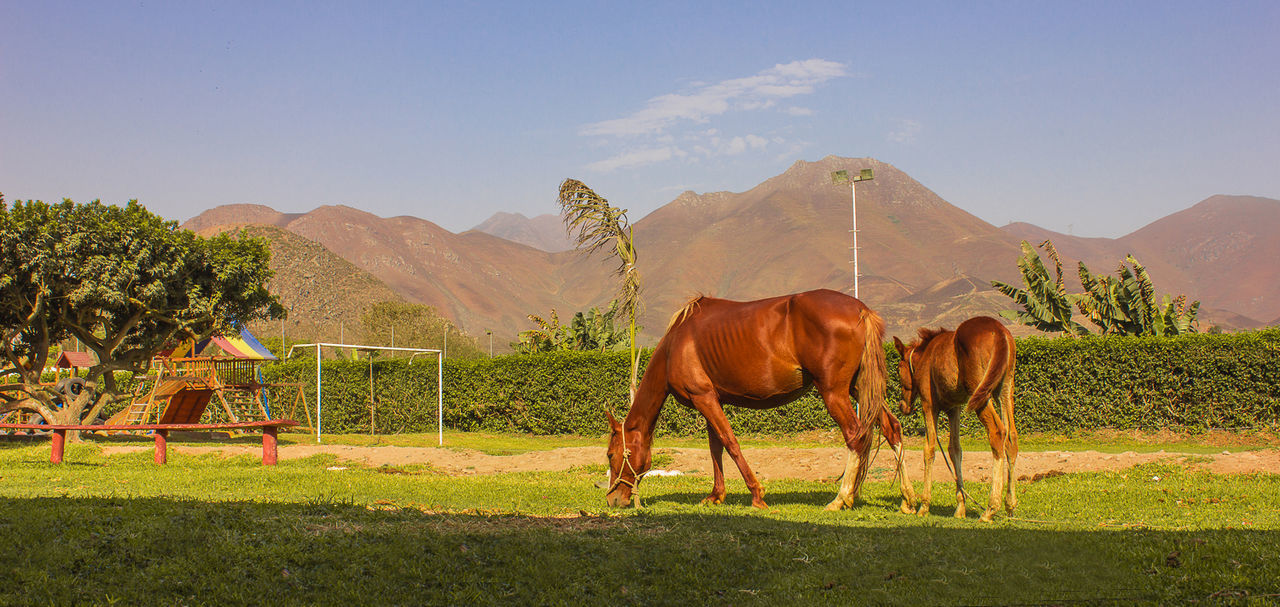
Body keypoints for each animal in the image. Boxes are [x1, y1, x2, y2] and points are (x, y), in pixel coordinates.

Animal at [604, 289, 916, 512]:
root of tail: (861, 310)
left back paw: (841, 499)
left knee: (855, 436)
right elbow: (715, 447)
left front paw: (756, 494)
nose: (612, 499)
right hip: (861, 388)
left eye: (610, 454)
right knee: (892, 428)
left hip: (834, 393)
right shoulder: (712, 400)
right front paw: (716, 495)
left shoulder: (704, 398)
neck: (676, 346)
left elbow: (730, 443)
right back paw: (908, 499)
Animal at [890, 317, 1018, 522]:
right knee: (1011, 437)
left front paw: (924, 505)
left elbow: (929, 449)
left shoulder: (929, 406)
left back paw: (991, 508)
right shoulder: (954, 409)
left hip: (981, 394)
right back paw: (1010, 505)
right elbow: (955, 450)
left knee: (997, 433)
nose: (903, 406)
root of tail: (999, 331)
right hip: (1004, 390)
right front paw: (960, 507)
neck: (926, 355)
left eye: (898, 369)